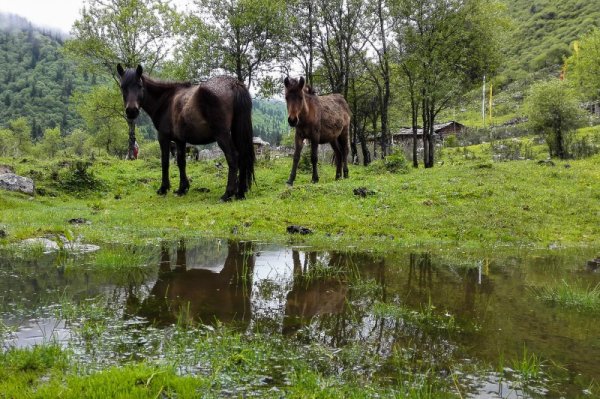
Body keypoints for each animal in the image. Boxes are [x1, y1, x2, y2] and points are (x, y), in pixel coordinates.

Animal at [117, 66, 255, 203]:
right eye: (122, 86)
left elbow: (165, 162)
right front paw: (182, 189)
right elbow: (181, 162)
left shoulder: (163, 137)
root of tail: (233, 84)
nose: (131, 111)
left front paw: (163, 188)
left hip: (222, 135)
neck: (165, 100)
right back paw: (240, 193)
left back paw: (227, 194)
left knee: (233, 156)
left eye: (139, 85)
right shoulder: (180, 140)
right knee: (242, 156)